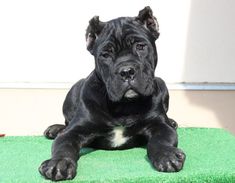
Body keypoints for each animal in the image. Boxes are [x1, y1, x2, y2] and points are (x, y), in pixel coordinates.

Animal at [38, 6, 185, 181]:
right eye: (105, 55)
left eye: (140, 46)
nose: (126, 71)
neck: (124, 106)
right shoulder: (75, 131)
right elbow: (64, 145)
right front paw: (59, 163)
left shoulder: (160, 126)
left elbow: (161, 141)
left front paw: (167, 155)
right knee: (66, 124)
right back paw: (55, 129)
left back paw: (173, 122)